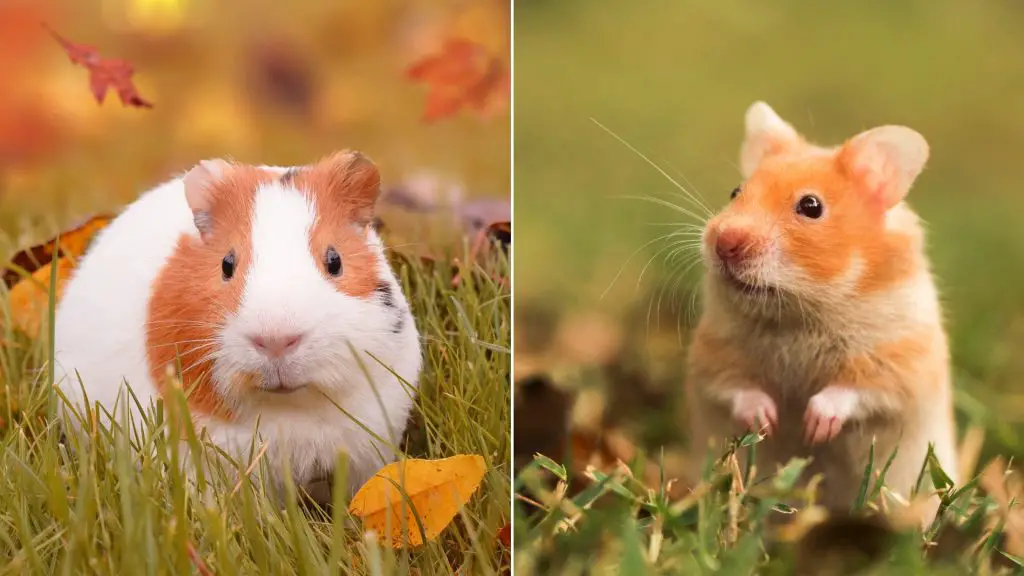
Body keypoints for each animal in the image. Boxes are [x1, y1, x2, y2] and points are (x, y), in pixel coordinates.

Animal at [688, 101, 958, 520]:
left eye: (811, 206)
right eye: (735, 192)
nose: (725, 242)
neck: (798, 313)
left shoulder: (901, 361)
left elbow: (853, 390)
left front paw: (814, 427)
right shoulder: (712, 354)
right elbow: (735, 386)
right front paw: (768, 421)